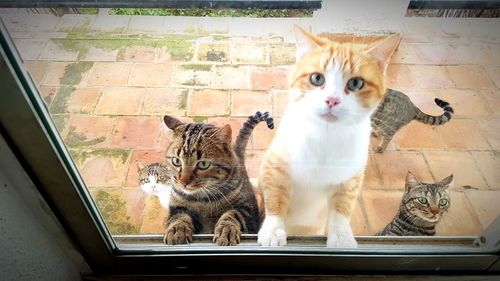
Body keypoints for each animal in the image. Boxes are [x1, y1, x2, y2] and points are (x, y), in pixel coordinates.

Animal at [162, 111, 274, 245]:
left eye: (203, 164)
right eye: (176, 161)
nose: (183, 182)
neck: (201, 200)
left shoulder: (247, 212)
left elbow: (232, 214)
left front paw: (227, 231)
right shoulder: (175, 208)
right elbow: (179, 217)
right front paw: (177, 230)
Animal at [256, 25, 400, 246]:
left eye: (356, 83)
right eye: (317, 78)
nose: (332, 100)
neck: (326, 134)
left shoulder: (350, 178)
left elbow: (341, 208)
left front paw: (341, 237)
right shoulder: (276, 166)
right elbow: (275, 198)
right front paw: (273, 229)